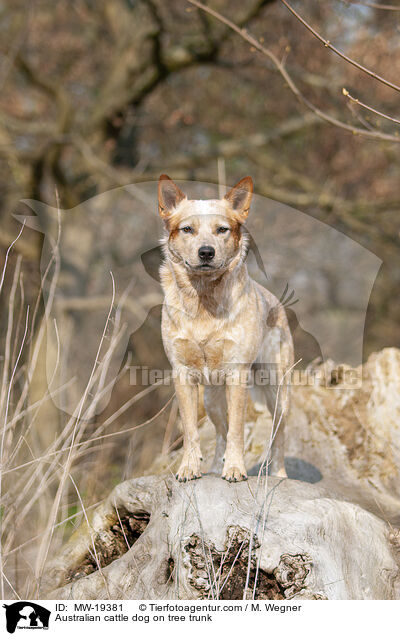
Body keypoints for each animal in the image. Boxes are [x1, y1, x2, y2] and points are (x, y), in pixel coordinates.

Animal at [159, 174, 294, 482]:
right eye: (187, 229)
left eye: (222, 229)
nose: (206, 252)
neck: (204, 301)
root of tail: (276, 303)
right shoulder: (182, 374)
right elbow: (191, 431)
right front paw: (189, 468)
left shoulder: (237, 374)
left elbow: (237, 431)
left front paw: (234, 469)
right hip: (211, 398)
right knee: (220, 431)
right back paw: (210, 467)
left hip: (277, 391)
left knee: (277, 435)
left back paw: (279, 474)